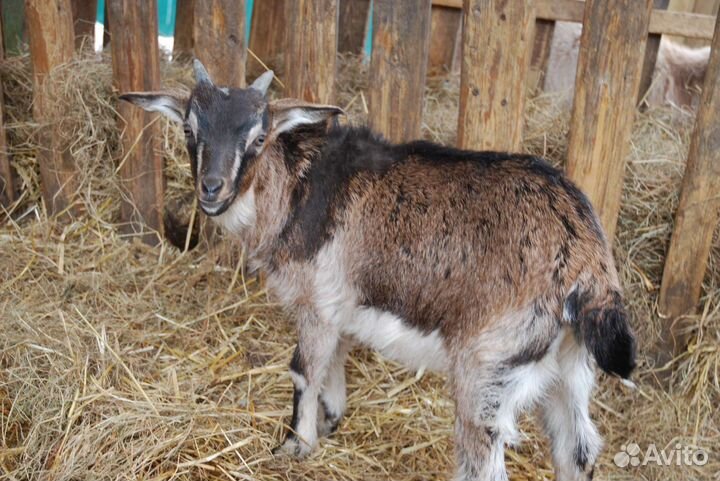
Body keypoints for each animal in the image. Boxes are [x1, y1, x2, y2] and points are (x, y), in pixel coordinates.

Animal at [120, 60, 636, 481]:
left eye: (259, 138)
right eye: (189, 130)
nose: (212, 189)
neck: (296, 188)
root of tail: (586, 259)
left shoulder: (318, 303)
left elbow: (303, 371)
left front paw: (295, 445)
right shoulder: (342, 309)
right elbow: (335, 362)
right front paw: (331, 419)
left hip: (487, 368)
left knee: (483, 461)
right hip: (570, 368)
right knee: (577, 450)